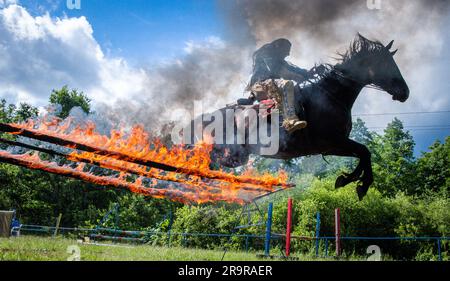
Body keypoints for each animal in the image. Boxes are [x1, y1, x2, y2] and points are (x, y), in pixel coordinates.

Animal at [186, 34, 408, 199]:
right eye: (385, 63)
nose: (405, 92)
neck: (331, 95)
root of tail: (201, 118)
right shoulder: (334, 142)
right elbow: (365, 151)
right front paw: (360, 183)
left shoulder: (334, 145)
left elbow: (364, 154)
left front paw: (350, 180)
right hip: (228, 154)